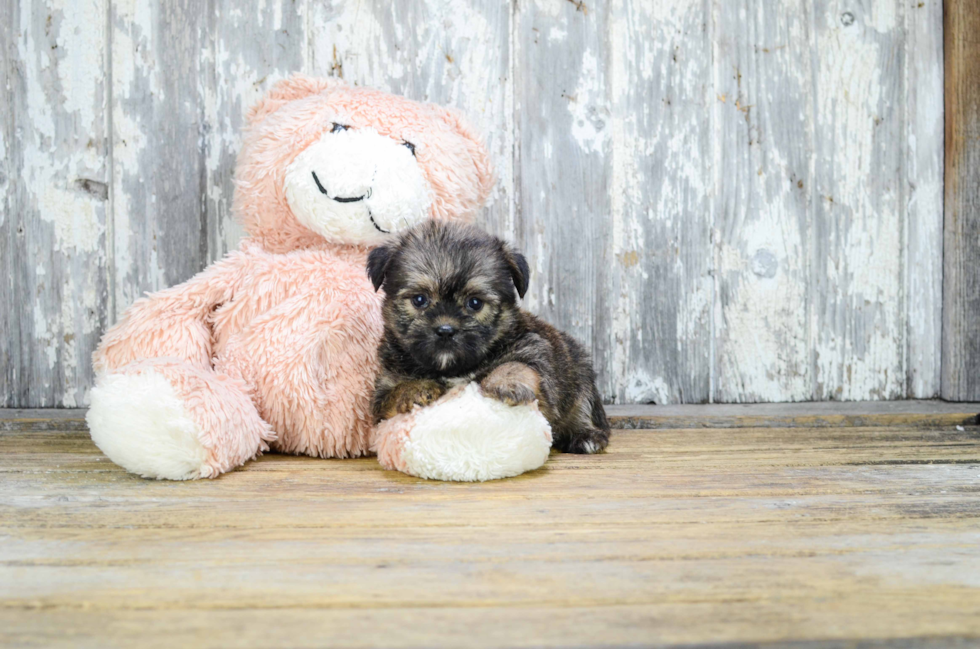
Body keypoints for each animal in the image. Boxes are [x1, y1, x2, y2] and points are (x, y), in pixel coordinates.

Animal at [368, 220, 612, 454]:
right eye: (419, 300)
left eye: (475, 303)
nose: (446, 329)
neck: (453, 370)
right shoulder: (383, 391)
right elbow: (391, 395)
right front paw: (413, 389)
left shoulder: (534, 351)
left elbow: (516, 365)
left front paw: (507, 383)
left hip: (580, 377)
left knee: (583, 410)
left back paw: (586, 436)